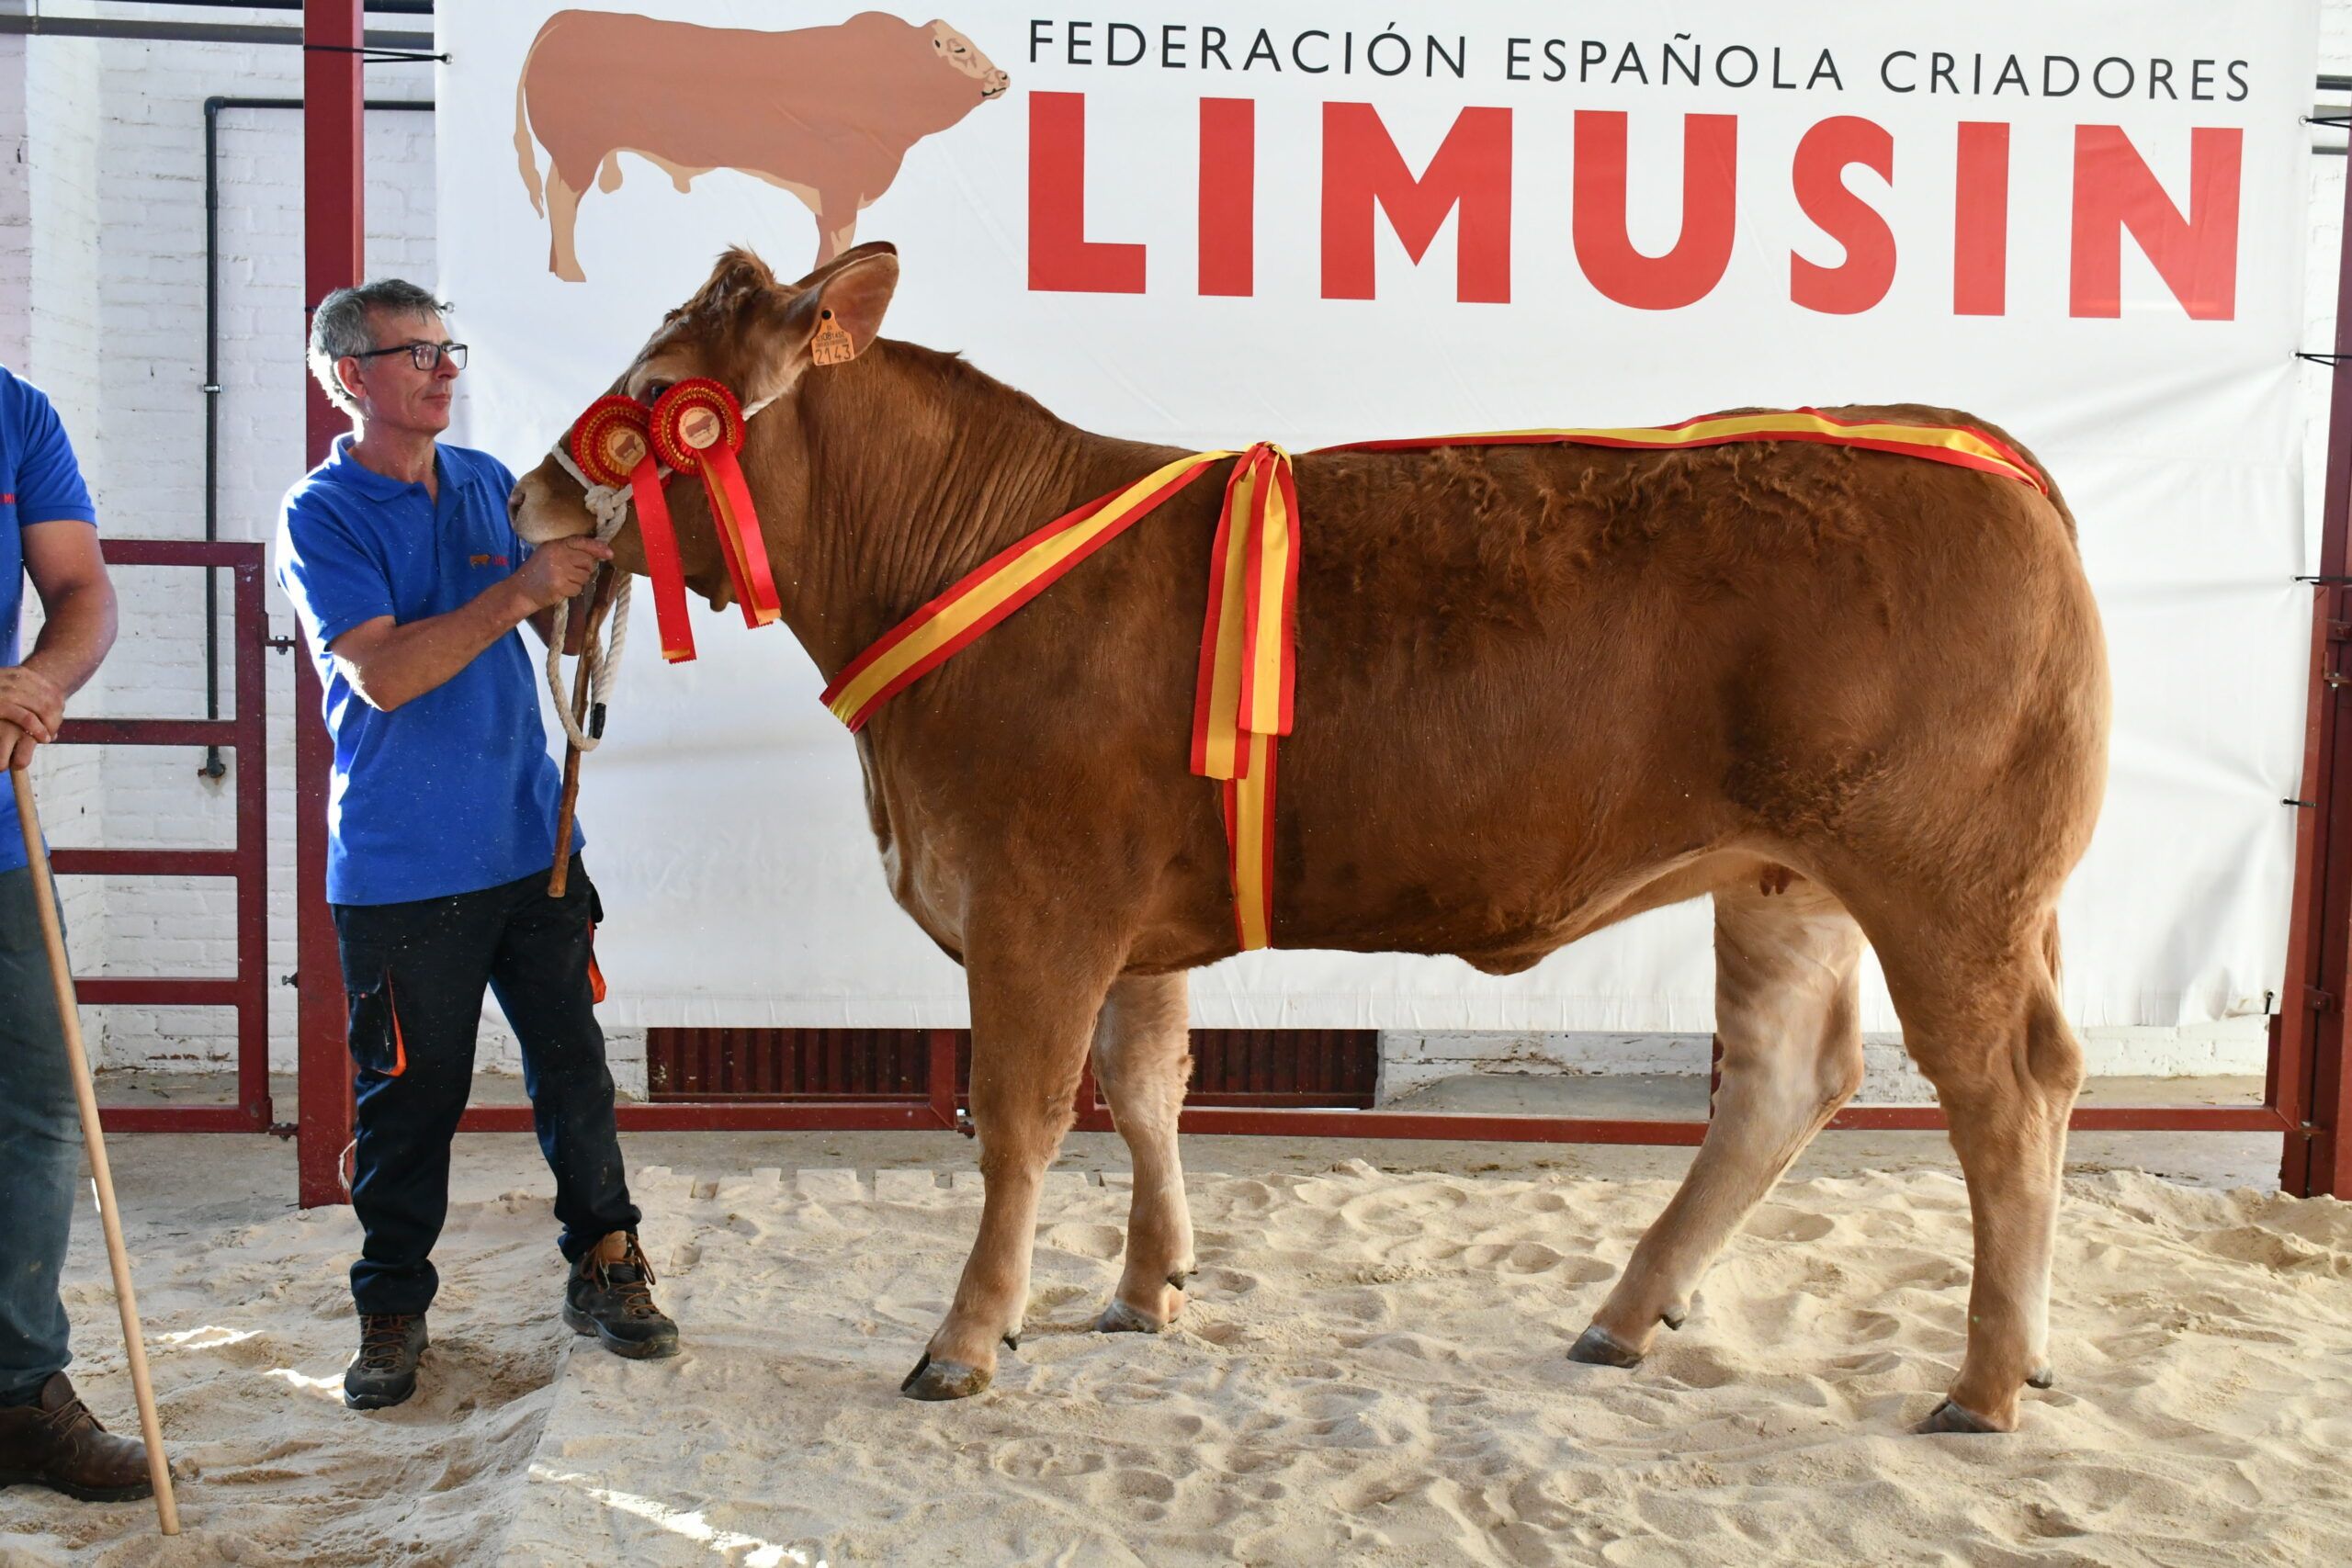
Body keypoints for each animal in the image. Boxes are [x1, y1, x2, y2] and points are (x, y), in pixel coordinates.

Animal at [510, 245, 2117, 1438]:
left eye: (650, 394)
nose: (527, 498)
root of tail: (1967, 447)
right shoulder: (1128, 914)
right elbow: (1147, 1084)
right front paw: (1146, 1287)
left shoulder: (1038, 902)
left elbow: (1021, 1118)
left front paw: (967, 1335)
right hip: (1787, 877)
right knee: (1788, 1077)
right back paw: (1629, 1313)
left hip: (1945, 881)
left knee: (2008, 1091)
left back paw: (1985, 1380)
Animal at [517, 10, 1011, 280]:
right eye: (957, 48)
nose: (1003, 75)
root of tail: (567, 17)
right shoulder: (841, 192)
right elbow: (835, 251)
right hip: (577, 150)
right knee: (561, 200)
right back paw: (571, 273)